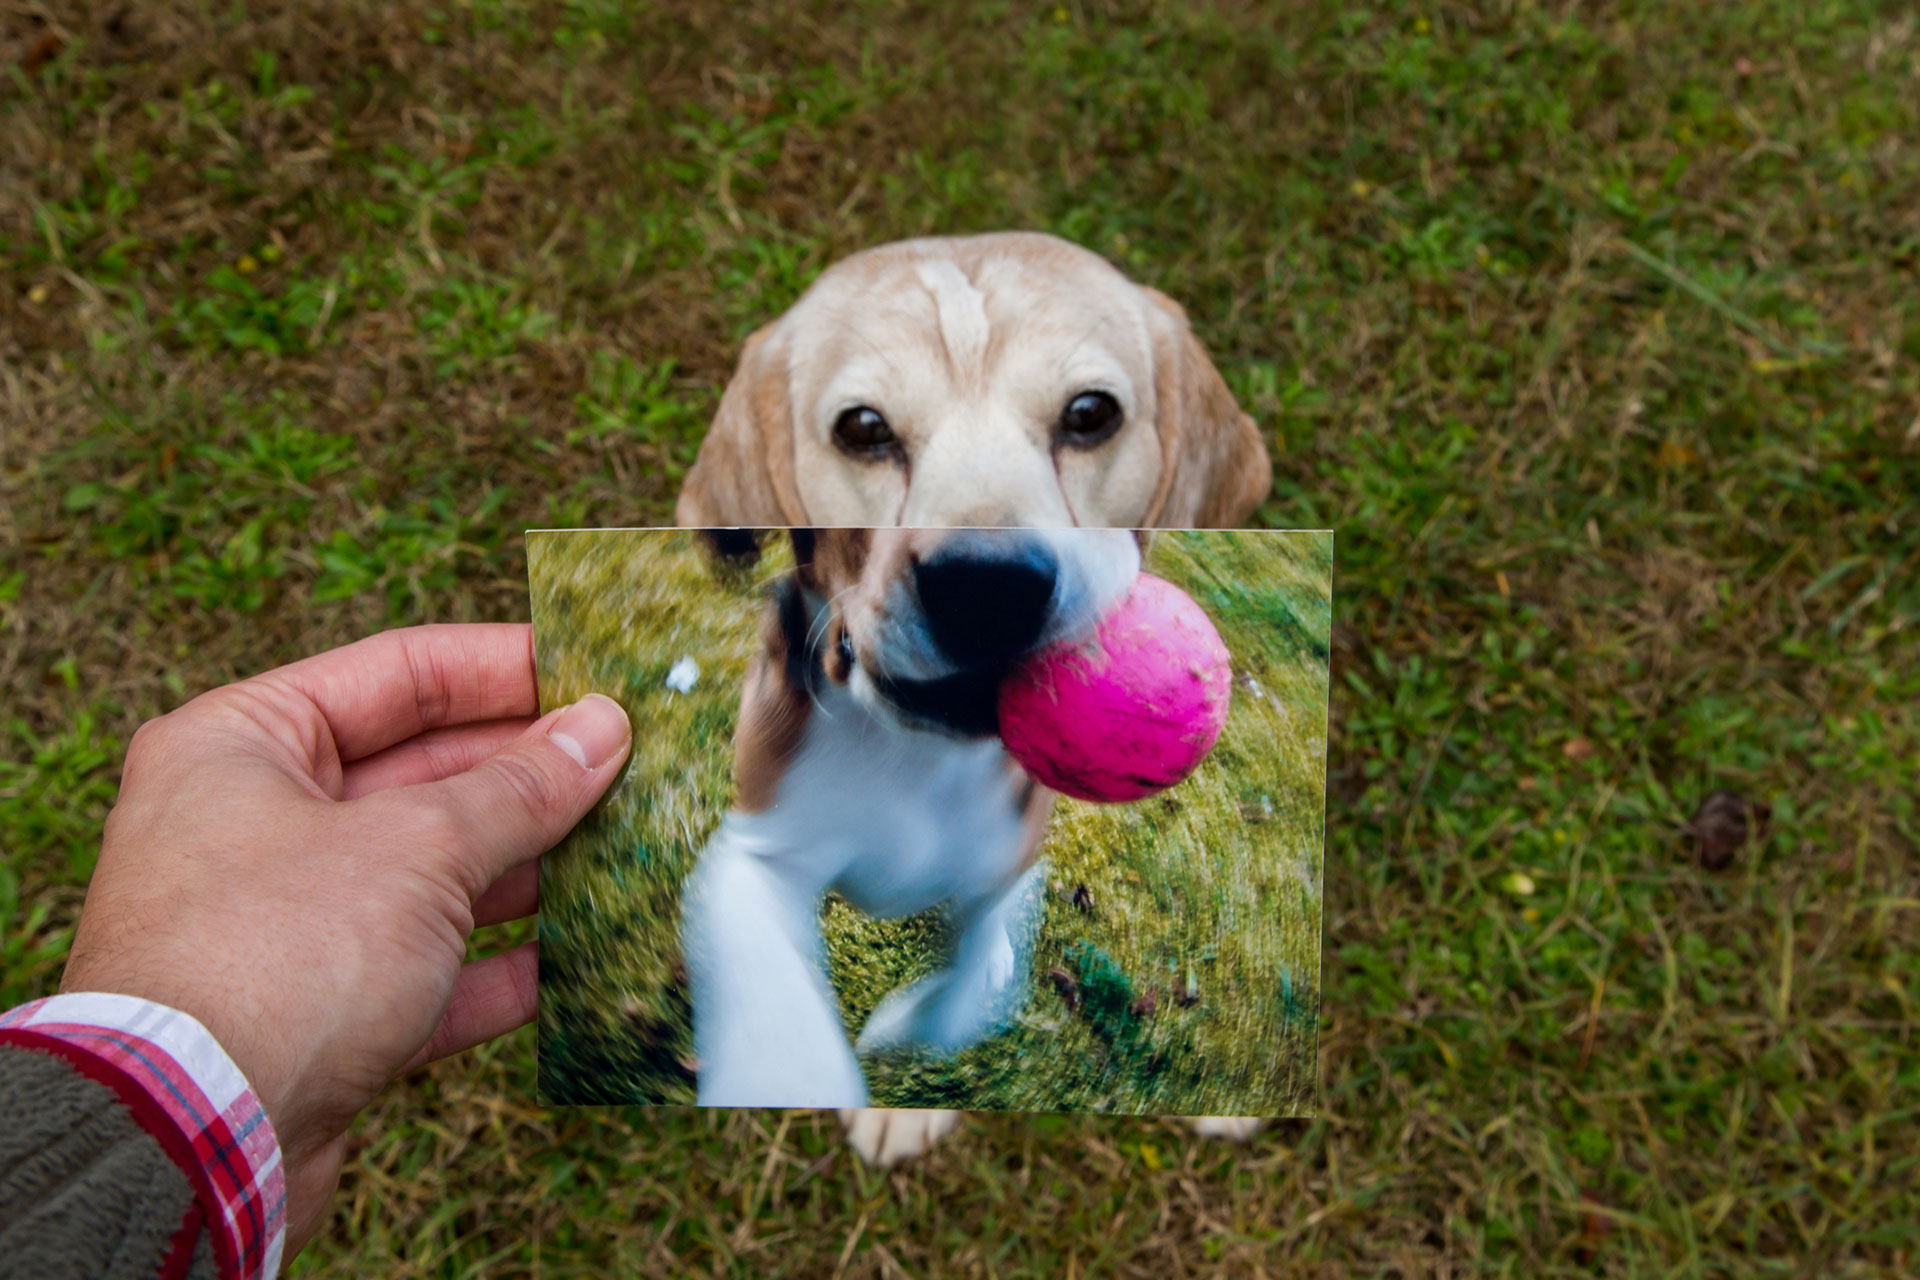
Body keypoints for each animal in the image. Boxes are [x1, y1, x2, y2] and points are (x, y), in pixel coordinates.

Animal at [672, 227, 1274, 1159]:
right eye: (863, 429)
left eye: (1090, 414)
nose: (987, 586)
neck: (918, 762)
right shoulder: (748, 857)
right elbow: (779, 1009)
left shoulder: (1011, 866)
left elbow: (975, 985)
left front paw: (904, 1032)